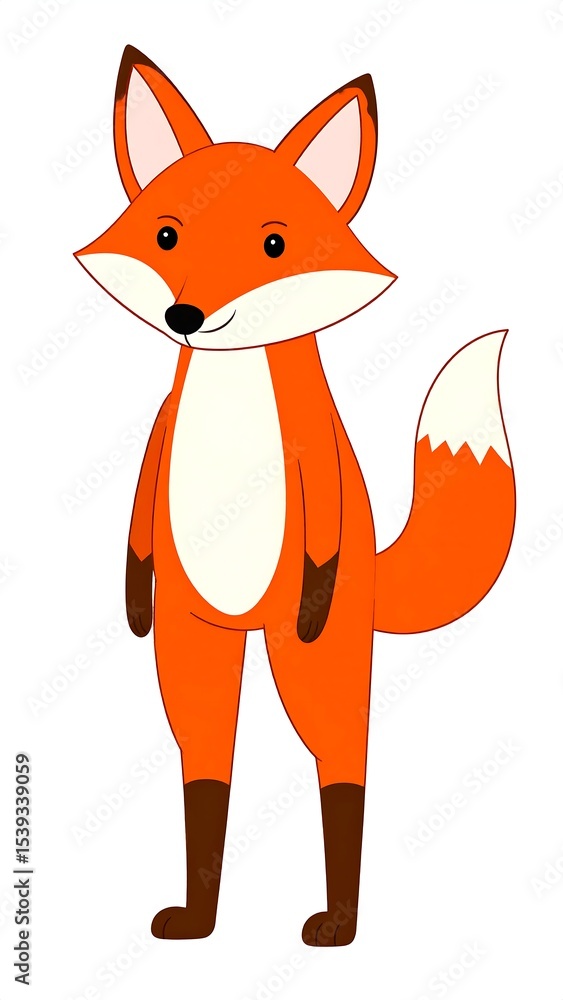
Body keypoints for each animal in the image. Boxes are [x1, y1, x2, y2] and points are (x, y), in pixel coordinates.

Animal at [75, 45, 516, 946]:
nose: (185, 314)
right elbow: (135, 527)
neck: (233, 391)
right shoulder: (160, 440)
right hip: (196, 647)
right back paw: (197, 920)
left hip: (318, 664)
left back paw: (338, 926)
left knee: (340, 772)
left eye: (274, 244)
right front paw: (130, 601)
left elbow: (322, 510)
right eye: (166, 235)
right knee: (204, 768)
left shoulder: (315, 459)